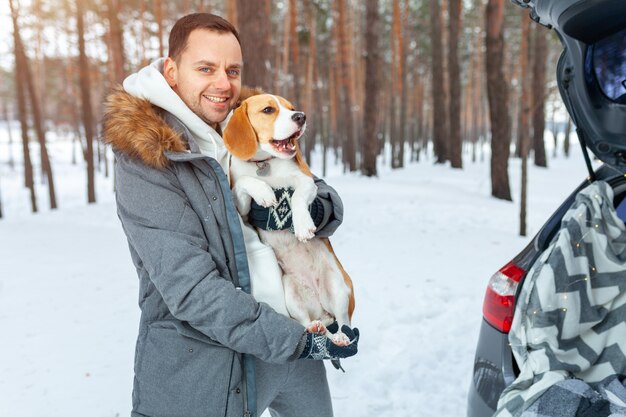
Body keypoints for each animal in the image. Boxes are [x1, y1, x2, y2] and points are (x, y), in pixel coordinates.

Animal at [223, 94, 352, 344]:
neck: (265, 164)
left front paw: (302, 226)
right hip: (290, 291)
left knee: (344, 323)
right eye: (268, 110)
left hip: (338, 288)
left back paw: (341, 337)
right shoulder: (242, 208)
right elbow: (245, 182)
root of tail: (320, 308)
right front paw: (263, 192)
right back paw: (315, 328)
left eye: (292, 108)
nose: (301, 116)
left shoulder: (307, 182)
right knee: (307, 324)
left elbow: (297, 198)